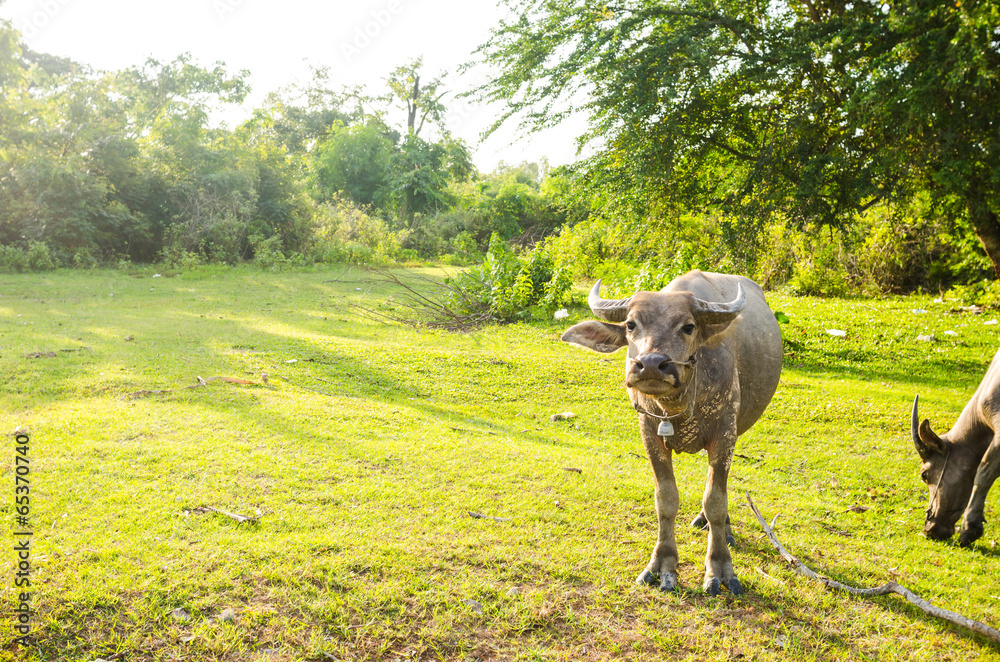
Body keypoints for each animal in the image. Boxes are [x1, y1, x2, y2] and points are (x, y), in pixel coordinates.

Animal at [561, 270, 782, 595]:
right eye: (631, 324)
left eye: (688, 327)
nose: (651, 364)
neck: (676, 405)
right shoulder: (650, 434)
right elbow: (665, 499)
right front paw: (663, 566)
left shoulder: (725, 435)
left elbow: (716, 500)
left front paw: (720, 569)